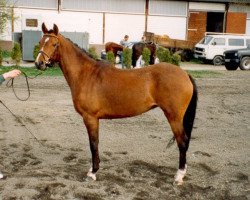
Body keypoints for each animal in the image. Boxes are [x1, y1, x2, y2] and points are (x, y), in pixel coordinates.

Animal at [35, 23, 198, 186]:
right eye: (41, 41)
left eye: (54, 44)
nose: (39, 63)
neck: (86, 74)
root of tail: (185, 74)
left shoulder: (90, 118)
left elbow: (93, 144)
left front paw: (93, 172)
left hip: (174, 117)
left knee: (182, 142)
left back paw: (179, 176)